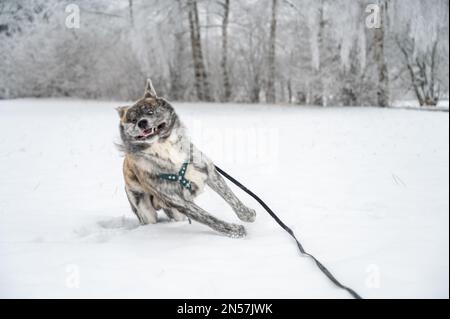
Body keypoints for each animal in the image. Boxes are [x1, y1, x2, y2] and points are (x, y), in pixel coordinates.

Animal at [117, 80, 256, 239]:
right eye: (133, 120)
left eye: (150, 111)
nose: (142, 123)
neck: (164, 147)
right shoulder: (179, 201)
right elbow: (209, 218)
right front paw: (233, 230)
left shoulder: (209, 172)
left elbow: (230, 197)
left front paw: (246, 214)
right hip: (144, 208)